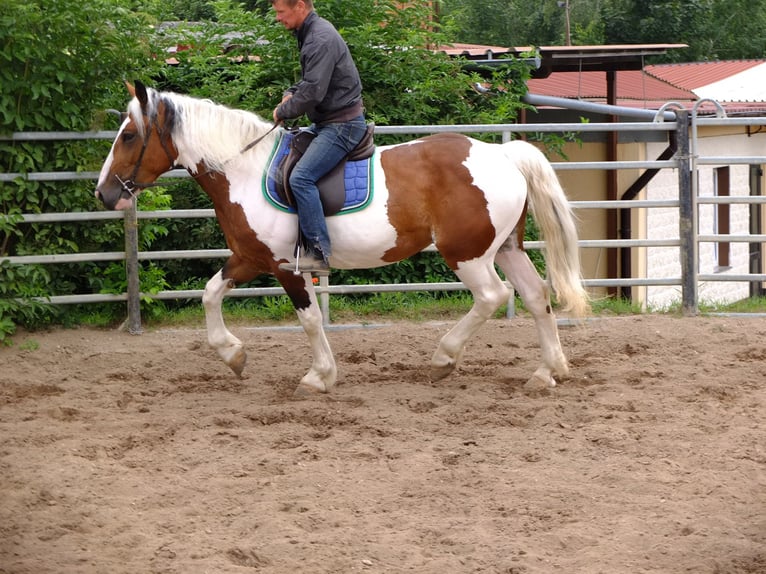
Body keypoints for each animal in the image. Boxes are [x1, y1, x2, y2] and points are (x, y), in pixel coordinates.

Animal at [94, 81, 588, 396]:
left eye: (130, 135)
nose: (103, 193)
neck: (244, 170)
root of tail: (503, 153)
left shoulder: (285, 267)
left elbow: (311, 321)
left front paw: (319, 376)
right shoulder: (248, 257)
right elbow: (210, 294)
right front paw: (233, 356)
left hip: (467, 254)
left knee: (492, 297)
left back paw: (445, 359)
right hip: (505, 248)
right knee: (535, 296)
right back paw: (547, 371)